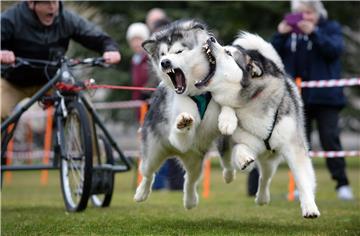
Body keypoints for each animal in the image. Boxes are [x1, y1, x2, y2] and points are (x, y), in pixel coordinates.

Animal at [134, 19, 235, 208]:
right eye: (162, 54)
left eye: (178, 51)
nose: (165, 62)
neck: (200, 91)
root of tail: (173, 153)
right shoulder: (178, 133)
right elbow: (181, 133)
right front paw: (183, 123)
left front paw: (227, 121)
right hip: (153, 151)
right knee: (148, 173)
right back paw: (141, 193)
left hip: (195, 160)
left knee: (190, 179)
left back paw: (190, 201)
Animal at [197, 32, 320, 218]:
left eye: (228, 52)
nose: (211, 38)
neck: (252, 101)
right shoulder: (243, 140)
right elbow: (239, 147)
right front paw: (243, 157)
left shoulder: (293, 147)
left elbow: (302, 178)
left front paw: (310, 207)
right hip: (231, 146)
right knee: (229, 162)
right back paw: (231, 173)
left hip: (271, 157)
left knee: (265, 177)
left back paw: (262, 197)